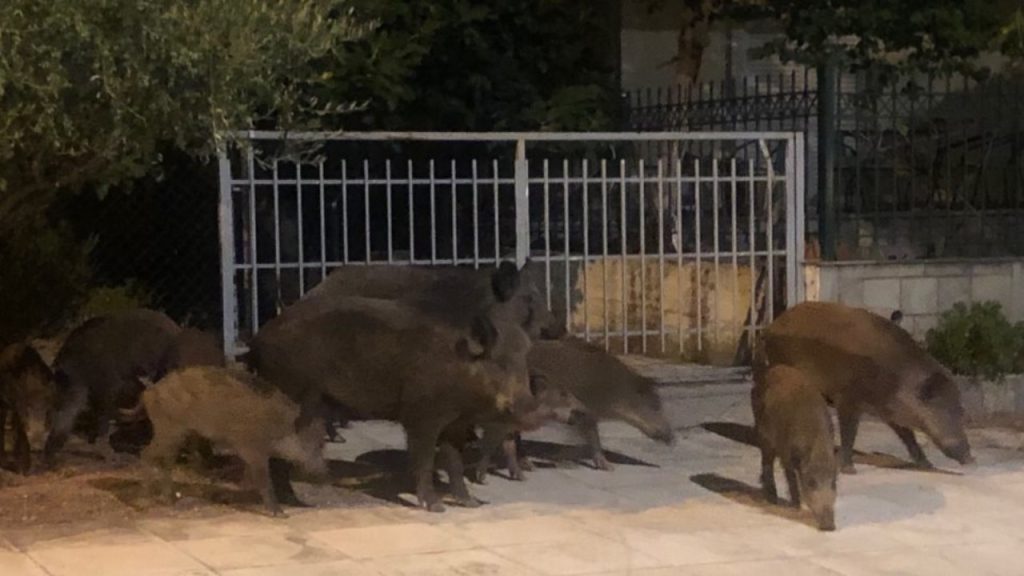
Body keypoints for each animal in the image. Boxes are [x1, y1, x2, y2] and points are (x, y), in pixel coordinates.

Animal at [0, 343, 58, 473]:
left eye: (48, 411)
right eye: (27, 411)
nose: (37, 448)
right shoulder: (17, 407)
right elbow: (21, 434)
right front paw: (23, 470)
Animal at [140, 366, 327, 517]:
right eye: (314, 443)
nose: (325, 471)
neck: (279, 426)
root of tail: (149, 391)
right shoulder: (252, 448)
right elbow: (264, 479)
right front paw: (280, 514)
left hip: (177, 435)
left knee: (166, 461)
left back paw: (168, 500)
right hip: (168, 430)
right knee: (146, 454)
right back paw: (146, 499)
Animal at [247, 296, 535, 512]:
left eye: (525, 360)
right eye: (499, 362)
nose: (530, 409)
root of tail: (259, 337)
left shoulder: (455, 424)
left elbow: (454, 463)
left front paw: (471, 503)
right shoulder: (422, 416)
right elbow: (424, 459)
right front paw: (436, 508)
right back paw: (291, 504)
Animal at [752, 364, 837, 531]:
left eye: (833, 483)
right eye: (811, 483)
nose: (830, 527)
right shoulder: (786, 451)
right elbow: (791, 477)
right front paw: (796, 506)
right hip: (762, 433)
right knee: (766, 461)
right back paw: (772, 498)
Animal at [762, 301, 972, 473]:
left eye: (960, 409)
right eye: (941, 407)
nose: (971, 459)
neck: (897, 379)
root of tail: (772, 325)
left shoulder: (889, 411)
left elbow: (907, 435)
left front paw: (928, 466)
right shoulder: (847, 398)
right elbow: (849, 432)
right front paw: (849, 470)